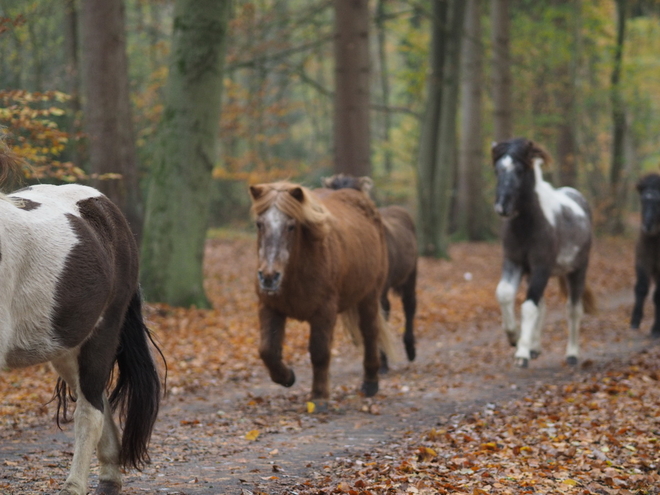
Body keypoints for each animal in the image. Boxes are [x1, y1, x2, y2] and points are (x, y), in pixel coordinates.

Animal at [0, 150, 163, 492]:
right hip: (66, 347)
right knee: (98, 396)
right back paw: (110, 474)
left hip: (102, 334)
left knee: (90, 411)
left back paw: (76, 484)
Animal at [246, 182, 392, 404]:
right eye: (259, 224)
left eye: (291, 226)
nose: (269, 277)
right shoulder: (270, 308)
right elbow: (267, 351)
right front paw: (287, 377)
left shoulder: (324, 312)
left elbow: (319, 353)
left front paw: (319, 397)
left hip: (369, 297)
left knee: (370, 334)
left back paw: (370, 384)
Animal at [492, 139, 596, 368]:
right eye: (498, 170)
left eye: (520, 170)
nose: (502, 207)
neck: (527, 225)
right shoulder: (514, 262)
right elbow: (505, 293)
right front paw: (513, 337)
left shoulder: (542, 267)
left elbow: (529, 307)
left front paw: (521, 353)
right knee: (543, 306)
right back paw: (535, 347)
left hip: (578, 270)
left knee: (573, 309)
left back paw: (572, 354)